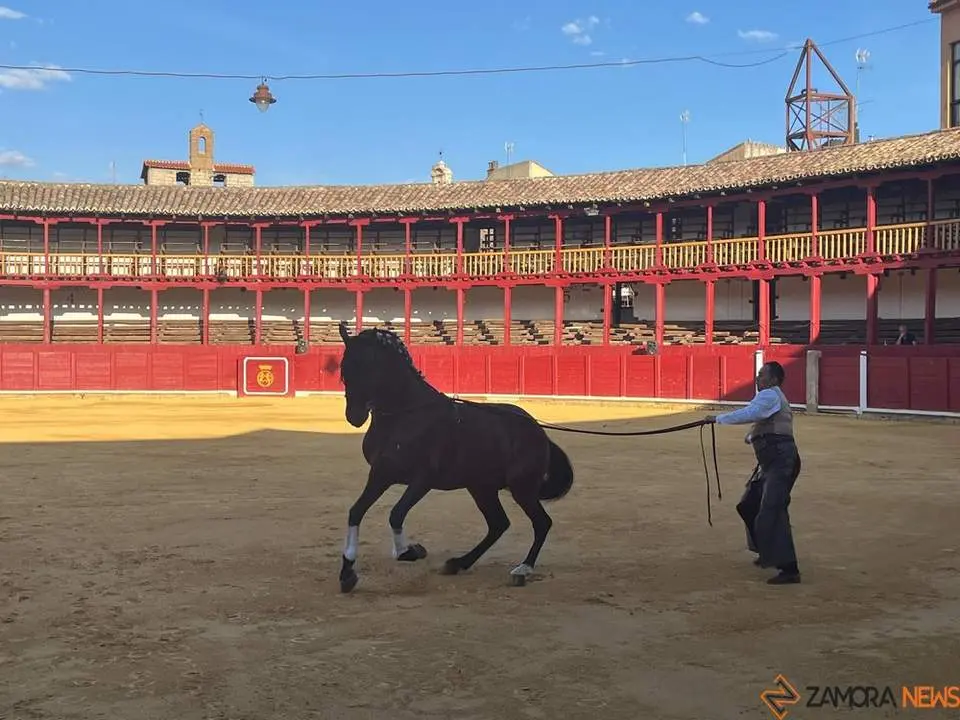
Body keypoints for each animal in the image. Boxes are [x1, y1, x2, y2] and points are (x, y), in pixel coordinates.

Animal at [334, 322, 575, 593]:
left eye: (370, 368)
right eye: (344, 370)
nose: (354, 417)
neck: (404, 416)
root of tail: (537, 429)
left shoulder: (422, 480)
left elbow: (396, 513)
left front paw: (411, 551)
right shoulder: (381, 474)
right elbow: (356, 511)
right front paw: (347, 572)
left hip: (521, 489)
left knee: (541, 523)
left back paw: (522, 569)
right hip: (481, 488)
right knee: (498, 524)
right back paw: (459, 563)